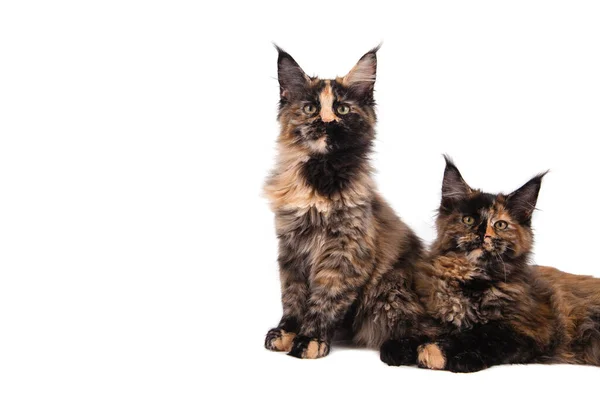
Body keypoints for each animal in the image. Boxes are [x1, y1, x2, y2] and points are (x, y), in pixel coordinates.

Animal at [264, 47, 428, 360]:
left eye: (342, 109)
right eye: (310, 109)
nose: (326, 122)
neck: (319, 180)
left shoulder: (346, 251)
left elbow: (326, 297)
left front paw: (311, 337)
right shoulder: (291, 247)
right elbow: (292, 295)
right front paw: (287, 331)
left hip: (391, 291)